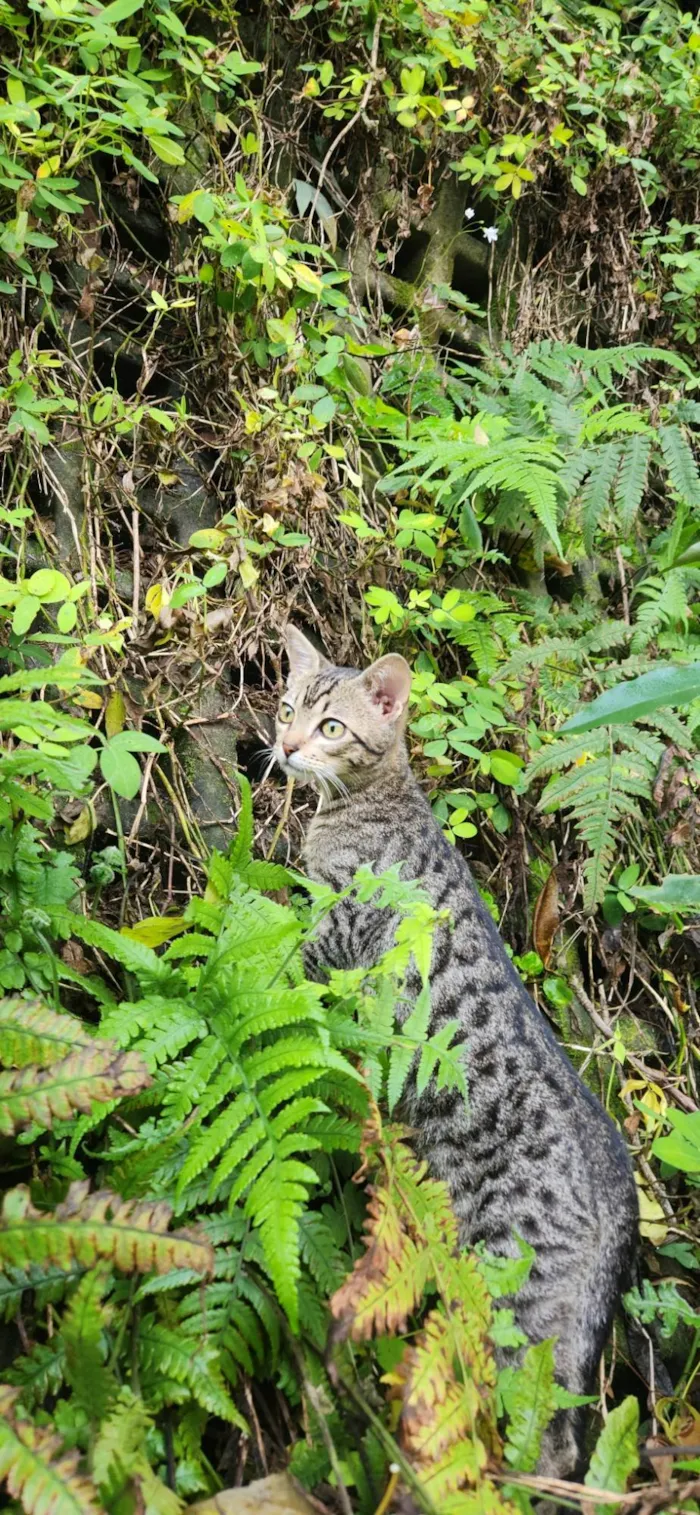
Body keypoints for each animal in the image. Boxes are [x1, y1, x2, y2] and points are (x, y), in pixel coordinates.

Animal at [272, 624, 639, 1478]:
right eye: (286, 706)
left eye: (331, 726)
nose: (287, 744)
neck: (368, 802)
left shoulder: (335, 937)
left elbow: (284, 956)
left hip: (515, 1282)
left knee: (547, 1429)